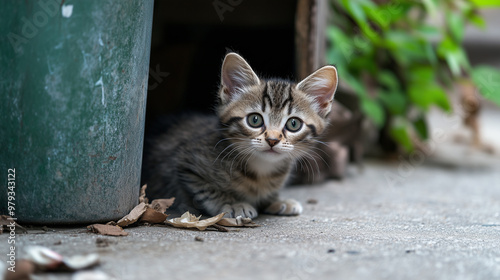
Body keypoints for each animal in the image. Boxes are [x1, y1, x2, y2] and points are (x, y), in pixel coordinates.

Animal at [144, 53, 340, 219]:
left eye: (293, 124)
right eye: (255, 120)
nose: (272, 140)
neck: (262, 171)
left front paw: (275, 200)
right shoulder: (185, 163)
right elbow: (206, 190)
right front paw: (233, 204)